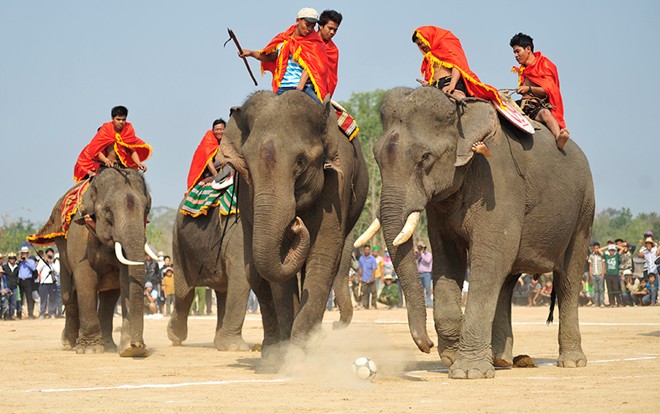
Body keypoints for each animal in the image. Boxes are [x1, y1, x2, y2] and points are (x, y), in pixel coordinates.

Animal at [48, 167, 152, 356]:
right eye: (108, 210)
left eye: (146, 208)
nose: (137, 345)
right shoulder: (79, 236)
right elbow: (85, 279)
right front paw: (90, 350)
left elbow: (125, 279)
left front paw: (128, 349)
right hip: (61, 245)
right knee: (69, 295)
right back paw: (69, 343)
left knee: (109, 298)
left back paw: (108, 346)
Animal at [168, 201, 253, 350]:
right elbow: (241, 277)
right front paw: (236, 348)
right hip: (178, 243)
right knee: (185, 294)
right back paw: (175, 337)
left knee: (223, 292)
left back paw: (220, 344)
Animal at [219, 91, 368, 356]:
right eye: (246, 164)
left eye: (300, 162)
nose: (297, 223)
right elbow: (278, 271)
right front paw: (287, 353)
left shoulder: (337, 185)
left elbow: (322, 257)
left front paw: (300, 353)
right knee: (254, 274)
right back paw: (271, 350)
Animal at [366, 87, 592, 378]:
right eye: (376, 158)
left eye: (425, 158)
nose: (426, 346)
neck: (462, 114)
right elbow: (448, 257)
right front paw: (451, 356)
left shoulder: (499, 180)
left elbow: (490, 256)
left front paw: (468, 372)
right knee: (507, 280)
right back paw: (502, 360)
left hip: (584, 210)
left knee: (568, 278)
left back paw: (571, 362)